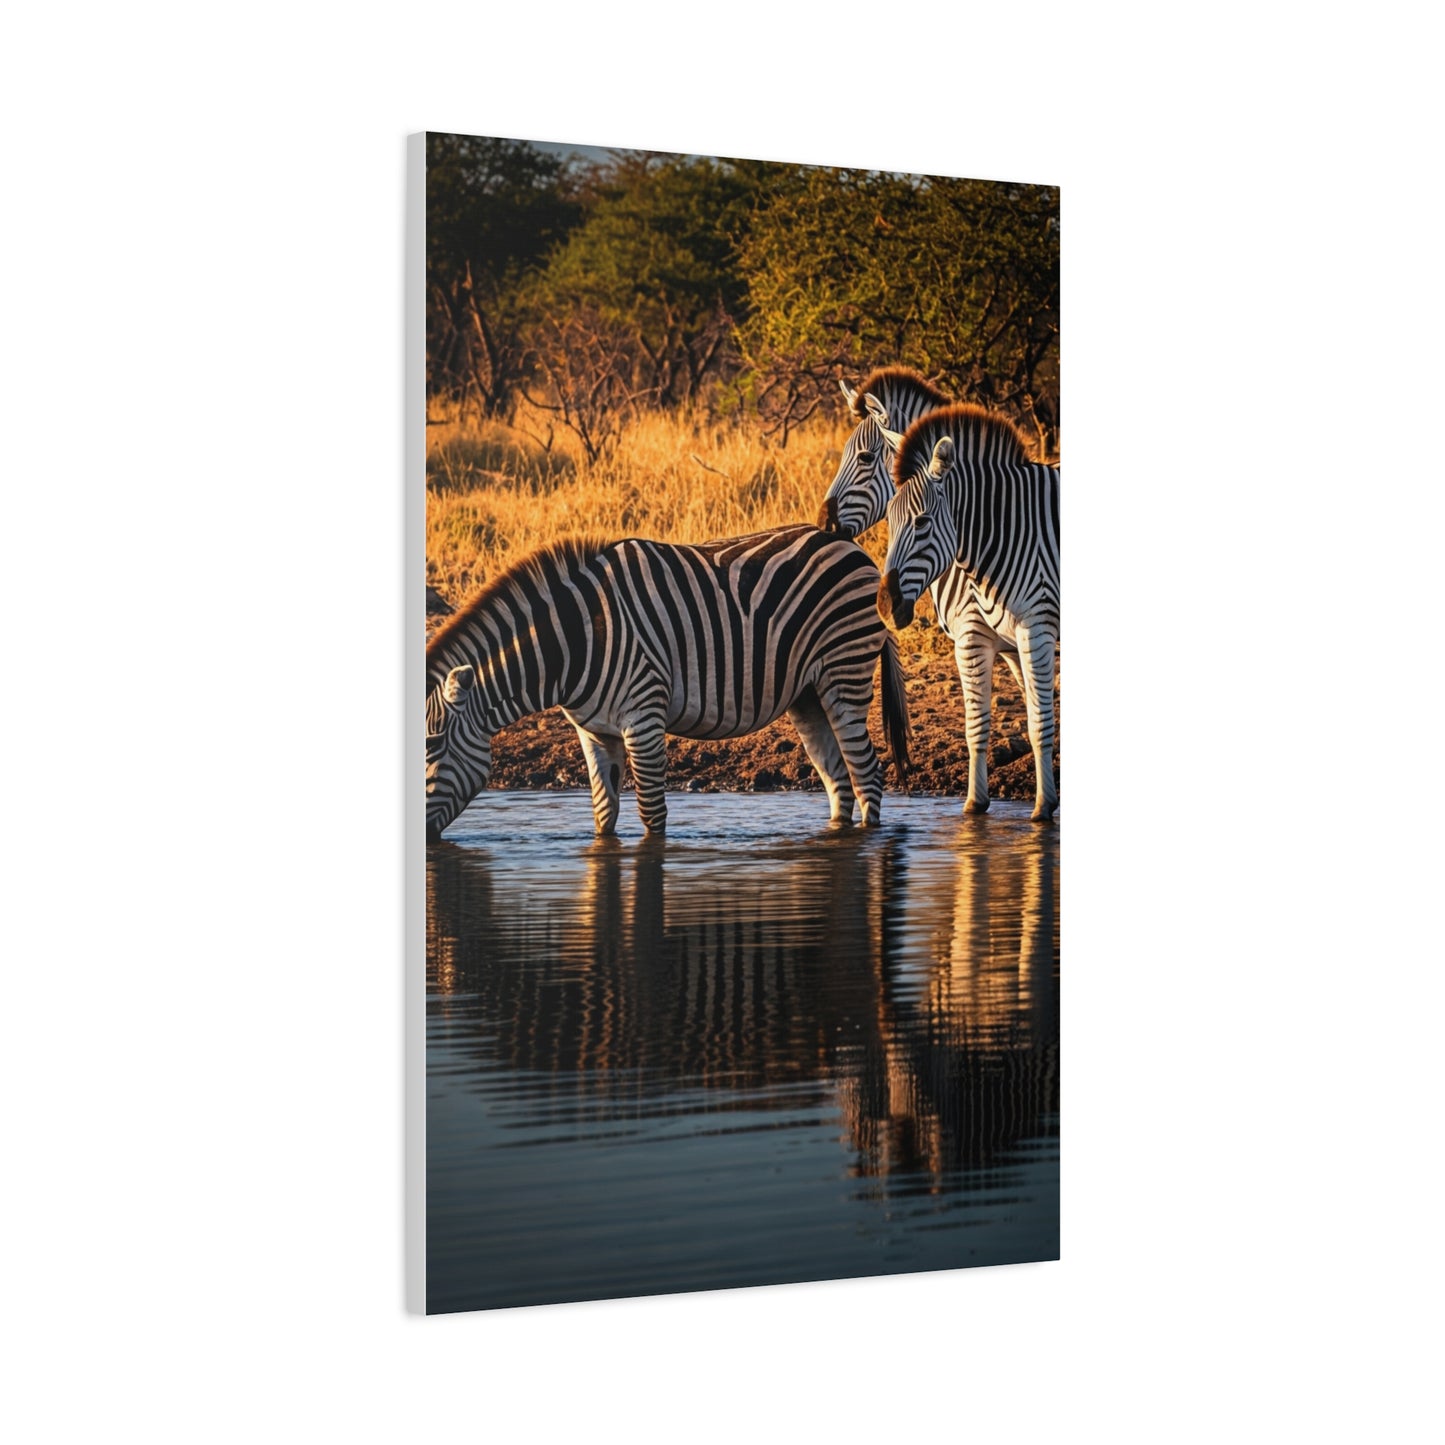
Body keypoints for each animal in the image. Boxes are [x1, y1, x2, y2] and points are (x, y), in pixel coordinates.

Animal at [425, 525, 911, 840]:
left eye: (433, 746)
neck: (575, 641)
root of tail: (852, 546)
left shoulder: (643, 716)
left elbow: (651, 811)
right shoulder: (593, 731)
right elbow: (604, 811)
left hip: (844, 672)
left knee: (867, 772)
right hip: (807, 695)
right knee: (837, 779)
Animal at [877, 404, 1060, 822]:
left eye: (921, 522)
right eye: (889, 520)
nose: (885, 605)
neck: (1009, 530)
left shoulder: (1035, 630)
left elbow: (1040, 722)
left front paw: (1043, 807)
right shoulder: (991, 640)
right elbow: (979, 723)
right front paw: (975, 804)